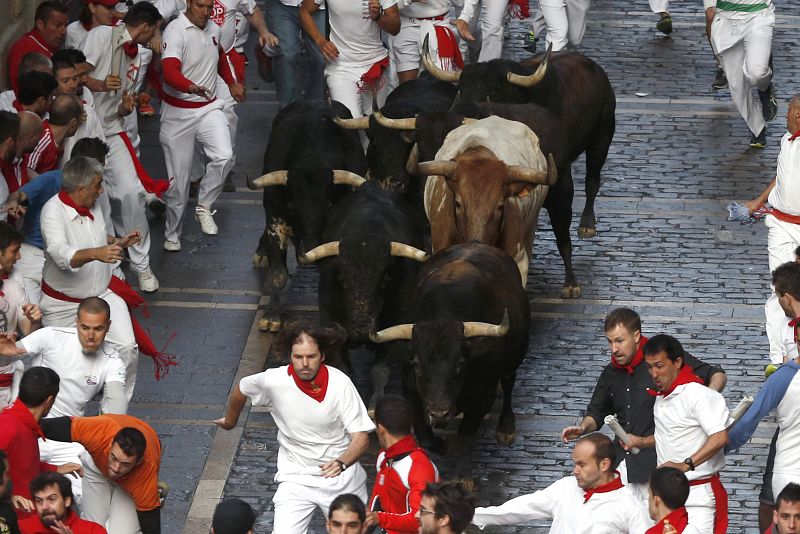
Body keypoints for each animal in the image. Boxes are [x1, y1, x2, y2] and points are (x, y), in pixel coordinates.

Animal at [250, 100, 368, 332]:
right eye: (293, 206)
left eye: (330, 206)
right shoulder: (275, 218)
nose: (311, 248)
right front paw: (271, 316)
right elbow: (278, 274)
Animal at [370, 245, 532, 488]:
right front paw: (441, 446)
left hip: (517, 353)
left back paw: (506, 428)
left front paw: (463, 476)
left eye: (461, 364)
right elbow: (423, 434)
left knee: (509, 380)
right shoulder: (411, 391)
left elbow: (466, 432)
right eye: (417, 364)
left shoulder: (483, 396)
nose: (440, 412)